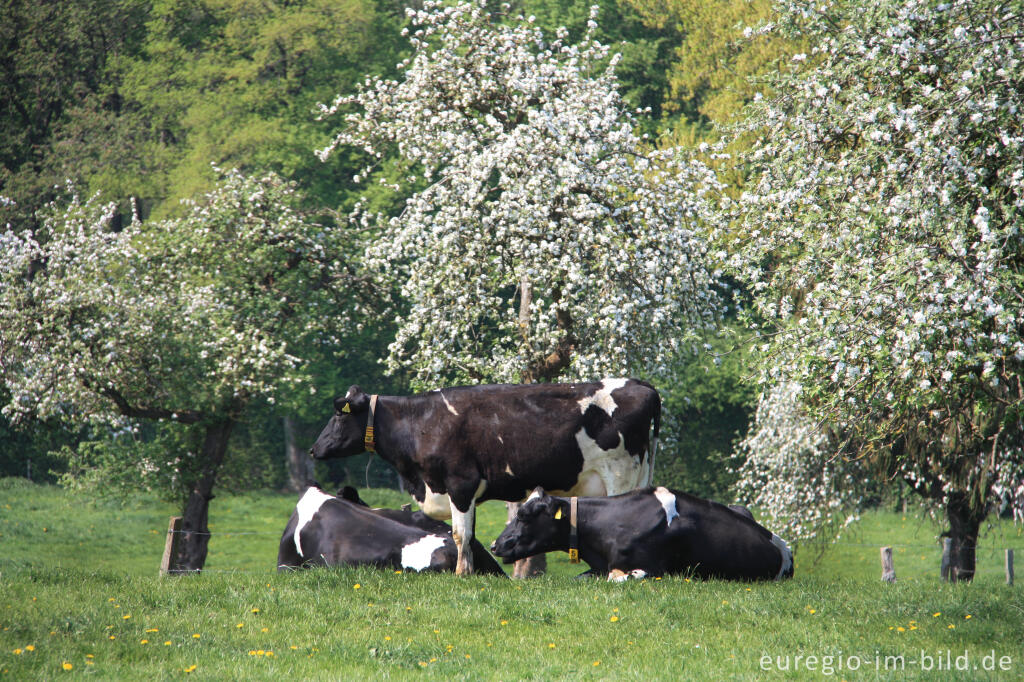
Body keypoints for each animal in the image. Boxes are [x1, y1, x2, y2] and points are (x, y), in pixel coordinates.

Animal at [311, 376, 659, 573]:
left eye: (338, 416)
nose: (314, 449)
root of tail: (640, 384)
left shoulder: (460, 484)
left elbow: (460, 535)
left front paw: (461, 575)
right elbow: (469, 535)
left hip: (619, 473)